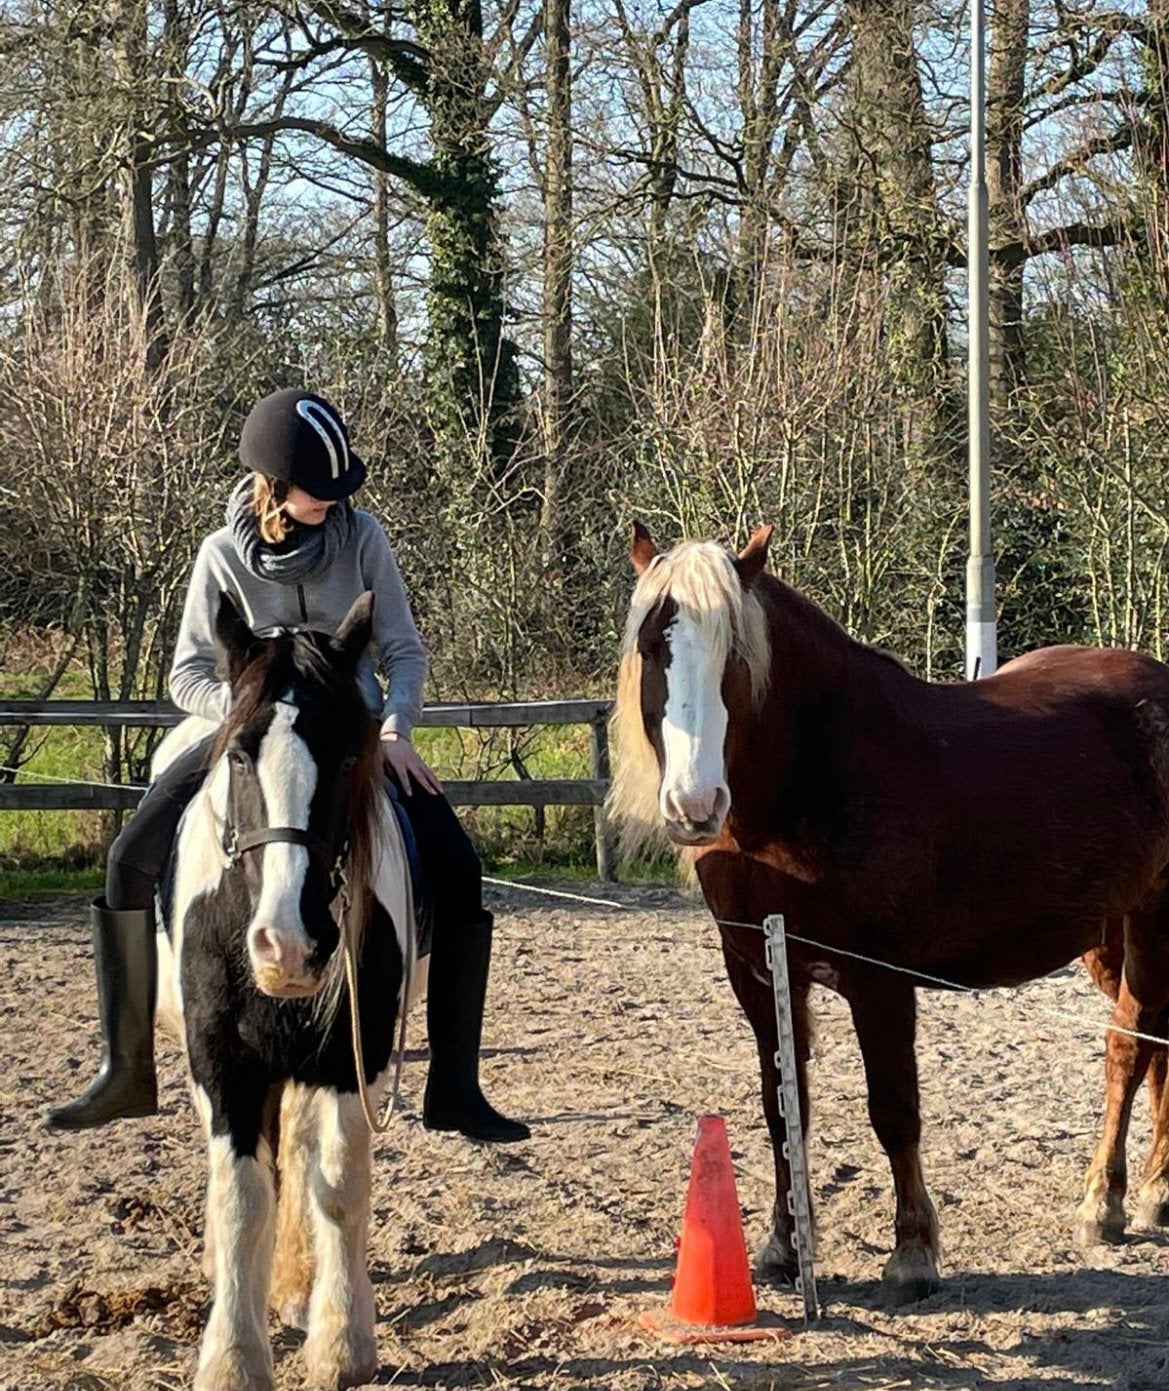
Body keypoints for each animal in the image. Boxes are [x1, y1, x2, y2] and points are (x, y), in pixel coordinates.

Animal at [153, 591, 417, 1390]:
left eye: (349, 754)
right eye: (240, 753)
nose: (289, 944)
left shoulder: (352, 1057)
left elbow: (338, 1185)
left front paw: (341, 1341)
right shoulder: (223, 1063)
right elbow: (243, 1197)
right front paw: (234, 1356)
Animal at [609, 521, 1169, 1304]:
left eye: (735, 655)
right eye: (652, 646)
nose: (695, 806)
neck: (817, 778)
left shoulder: (879, 979)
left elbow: (893, 1110)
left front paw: (912, 1254)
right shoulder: (758, 972)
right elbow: (782, 1107)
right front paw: (783, 1246)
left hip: (1153, 917)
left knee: (1130, 1048)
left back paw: (1105, 1203)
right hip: (1108, 935)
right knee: (1156, 1048)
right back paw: (1154, 1193)